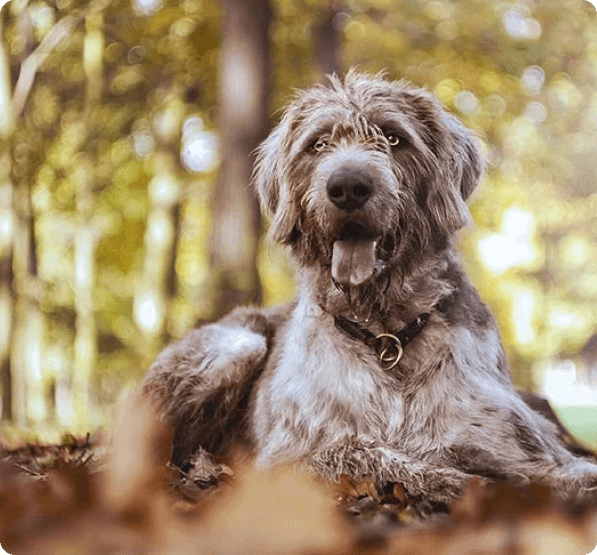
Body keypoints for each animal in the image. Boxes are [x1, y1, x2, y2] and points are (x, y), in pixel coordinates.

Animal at [143, 71, 596, 510]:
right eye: (318, 144)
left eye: (394, 138)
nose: (347, 187)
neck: (385, 335)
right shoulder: (286, 458)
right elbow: (361, 451)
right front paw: (457, 481)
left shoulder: (515, 437)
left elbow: (565, 468)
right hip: (237, 346)